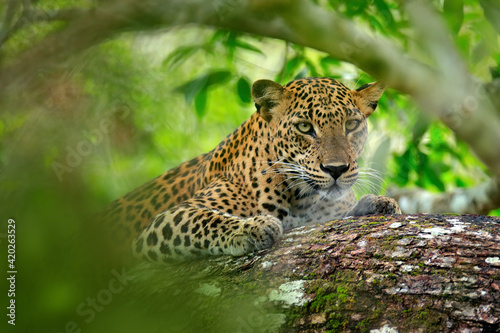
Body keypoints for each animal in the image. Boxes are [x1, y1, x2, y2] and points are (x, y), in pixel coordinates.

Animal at [99, 76, 400, 262]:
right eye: (305, 127)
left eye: (351, 125)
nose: (336, 169)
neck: (302, 197)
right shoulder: (163, 222)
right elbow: (202, 220)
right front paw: (252, 228)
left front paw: (377, 203)